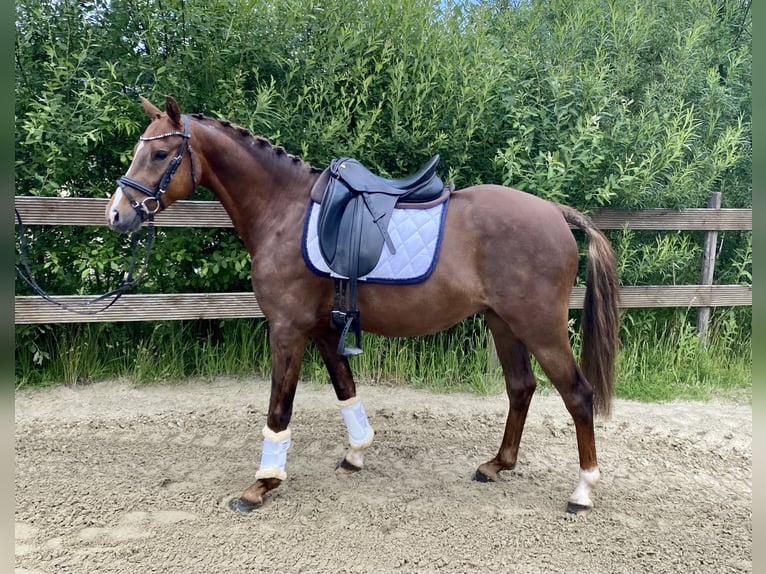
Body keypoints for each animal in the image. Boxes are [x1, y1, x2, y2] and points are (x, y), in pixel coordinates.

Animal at [106, 97, 624, 516]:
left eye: (159, 153)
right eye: (139, 149)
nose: (117, 214)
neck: (284, 211)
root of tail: (556, 212)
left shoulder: (287, 328)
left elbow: (279, 408)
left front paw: (262, 485)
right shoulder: (321, 327)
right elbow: (345, 387)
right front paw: (355, 453)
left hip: (539, 326)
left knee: (578, 395)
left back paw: (583, 490)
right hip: (504, 324)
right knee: (521, 388)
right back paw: (497, 464)